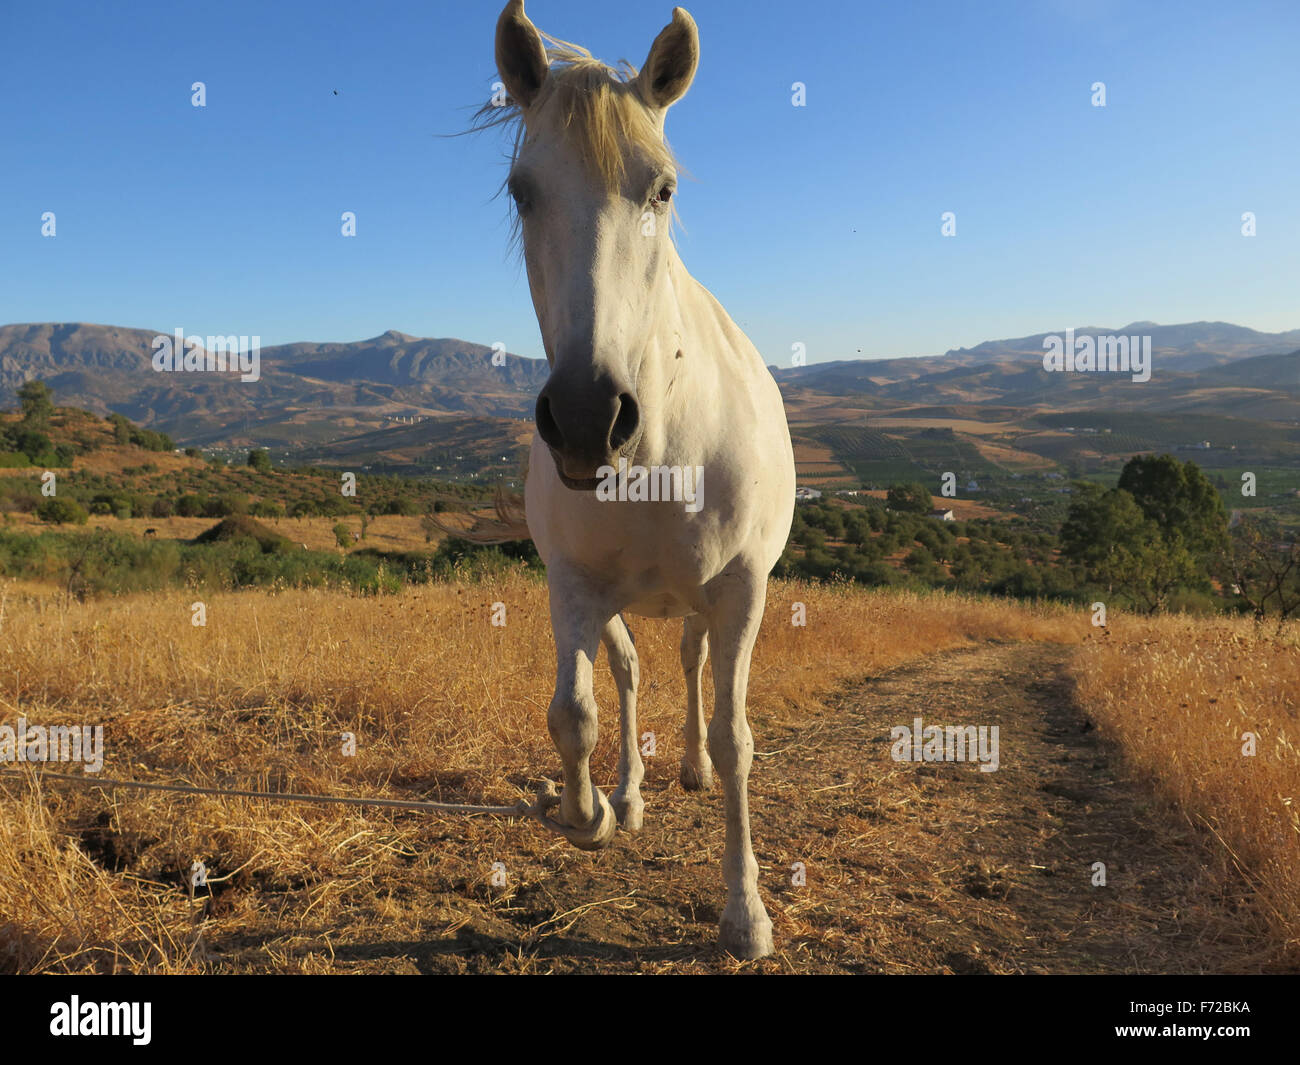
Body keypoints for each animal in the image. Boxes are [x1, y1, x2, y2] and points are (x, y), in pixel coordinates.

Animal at [488, 0, 790, 962]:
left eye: (662, 189)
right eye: (522, 190)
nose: (589, 417)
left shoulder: (741, 587)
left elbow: (736, 740)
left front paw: (746, 911)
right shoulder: (571, 583)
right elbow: (573, 712)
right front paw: (585, 813)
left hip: (706, 597)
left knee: (692, 666)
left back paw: (686, 768)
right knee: (627, 673)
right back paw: (627, 795)